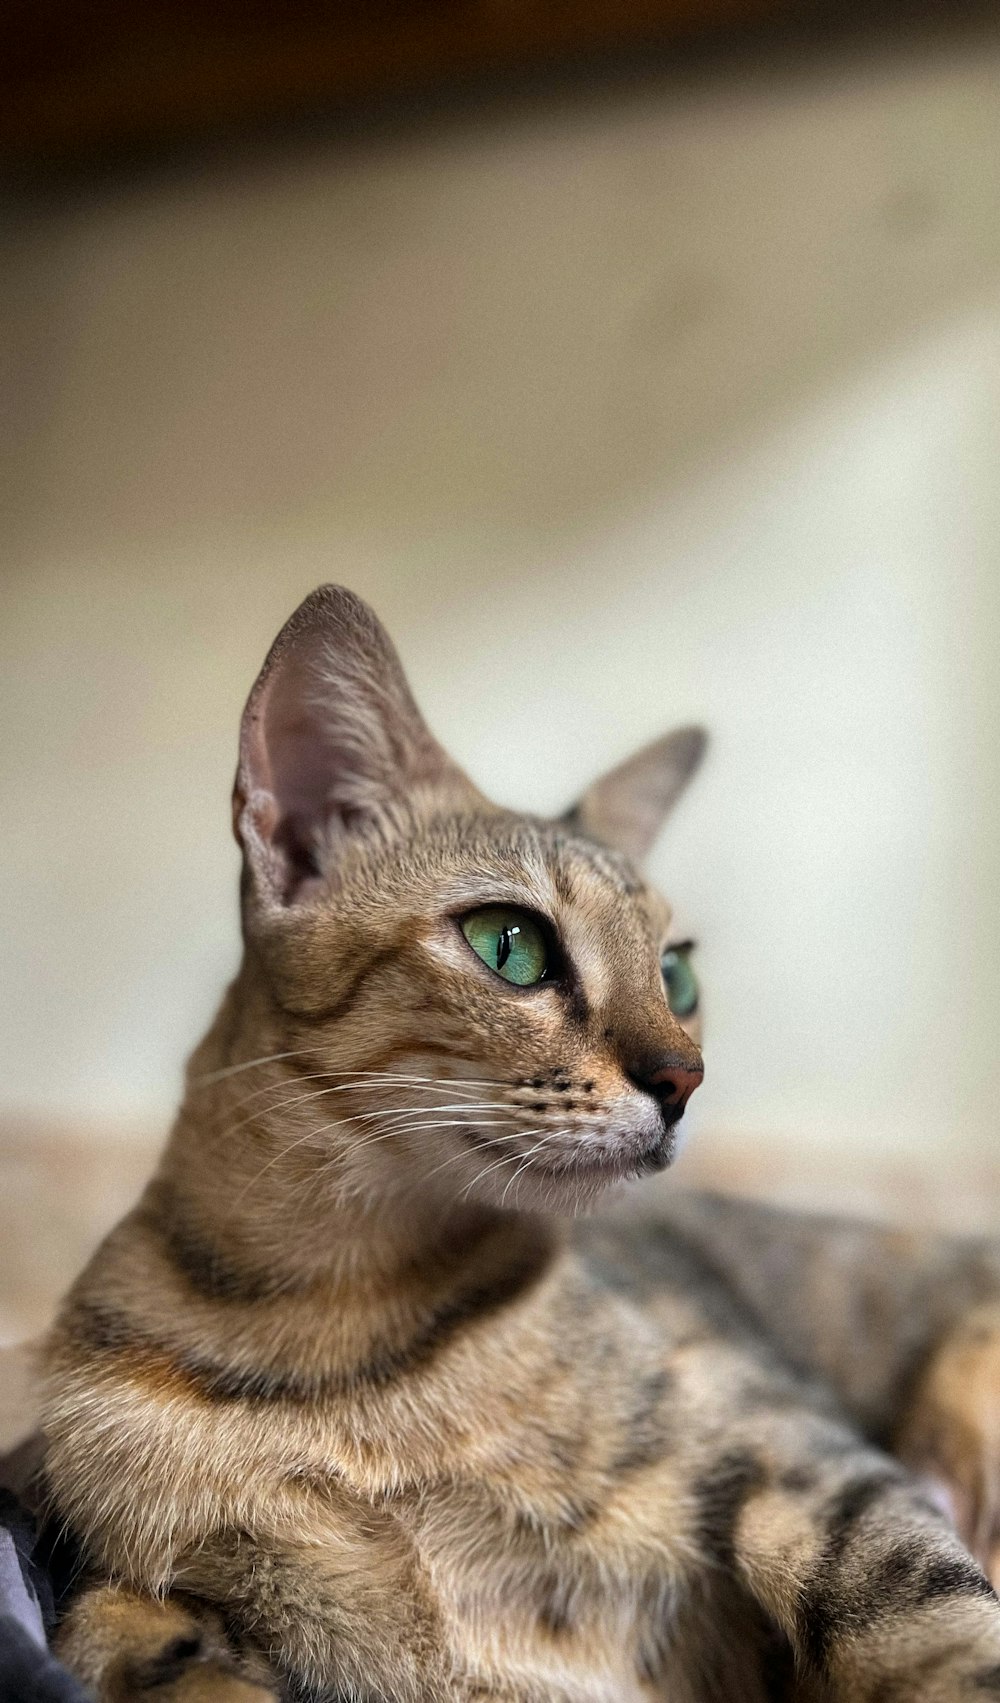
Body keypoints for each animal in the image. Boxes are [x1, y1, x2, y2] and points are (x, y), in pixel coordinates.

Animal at [39, 589, 1000, 1703]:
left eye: (675, 971)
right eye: (511, 944)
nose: (685, 1078)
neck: (346, 1325)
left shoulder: (799, 1451)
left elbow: (933, 1626)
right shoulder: (135, 1593)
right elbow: (135, 1640)